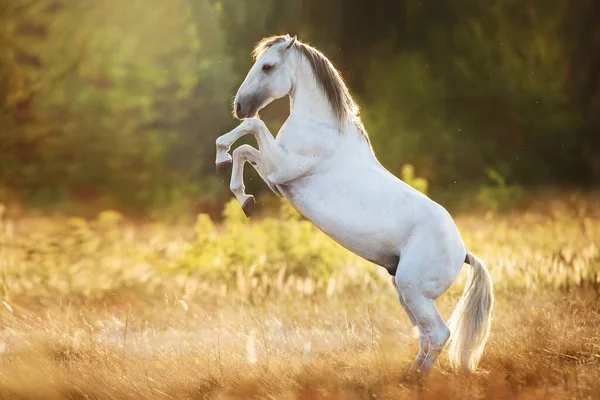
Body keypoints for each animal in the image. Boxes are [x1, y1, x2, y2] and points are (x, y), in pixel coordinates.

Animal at [214, 34, 492, 376]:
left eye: (267, 66)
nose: (240, 106)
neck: (322, 128)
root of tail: (463, 251)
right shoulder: (278, 180)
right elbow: (245, 151)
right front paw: (245, 198)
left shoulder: (281, 167)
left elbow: (251, 130)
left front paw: (222, 158)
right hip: (405, 293)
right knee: (426, 335)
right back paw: (409, 375)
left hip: (414, 292)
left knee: (439, 334)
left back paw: (418, 379)